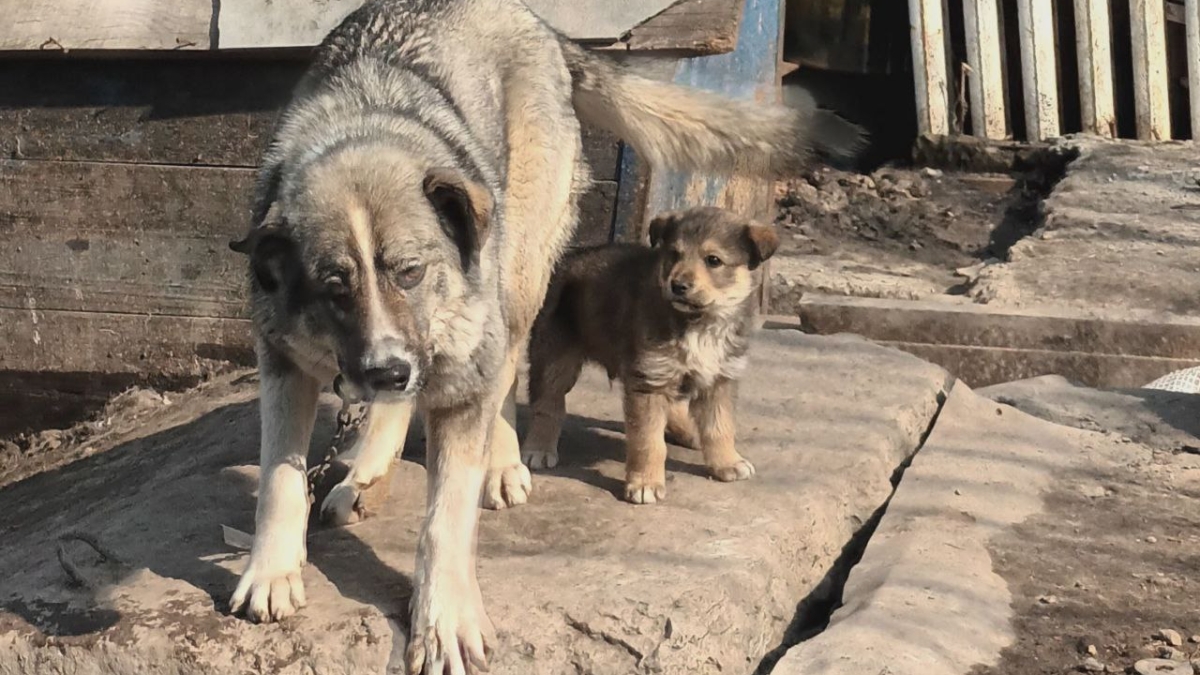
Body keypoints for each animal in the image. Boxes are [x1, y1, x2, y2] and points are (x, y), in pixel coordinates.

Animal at [525, 207, 777, 502]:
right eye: (674, 254)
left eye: (713, 260)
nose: (678, 285)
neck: (699, 323)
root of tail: (569, 256)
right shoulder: (648, 381)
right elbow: (649, 441)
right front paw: (645, 483)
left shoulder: (719, 378)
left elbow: (720, 427)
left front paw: (727, 462)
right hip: (555, 358)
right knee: (547, 403)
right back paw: (539, 447)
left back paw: (688, 432)